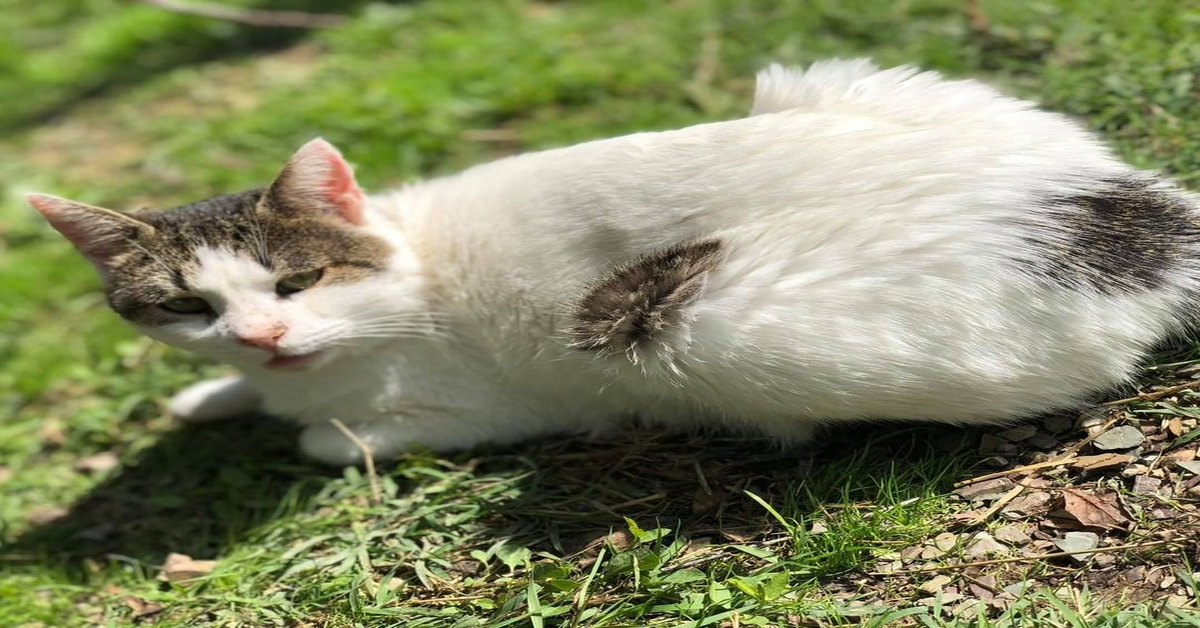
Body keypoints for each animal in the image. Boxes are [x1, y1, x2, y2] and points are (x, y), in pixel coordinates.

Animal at [28, 60, 1200, 465]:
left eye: (296, 282)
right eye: (187, 307)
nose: (263, 336)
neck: (408, 264)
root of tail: (1135, 206)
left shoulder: (484, 407)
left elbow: (332, 440)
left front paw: (291, 418)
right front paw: (214, 392)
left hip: (673, 326)